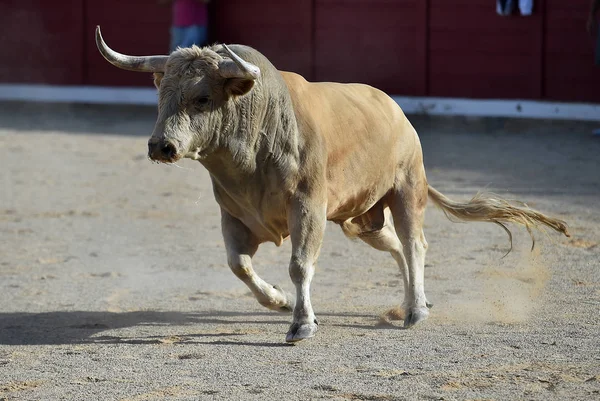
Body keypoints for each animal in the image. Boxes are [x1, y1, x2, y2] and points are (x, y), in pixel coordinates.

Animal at [96, 26, 568, 342]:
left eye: (202, 97)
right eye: (161, 96)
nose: (162, 146)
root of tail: (398, 112)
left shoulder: (308, 207)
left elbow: (300, 264)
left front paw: (301, 324)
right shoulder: (234, 214)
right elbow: (238, 264)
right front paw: (279, 301)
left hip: (406, 189)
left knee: (414, 243)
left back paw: (416, 311)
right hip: (362, 218)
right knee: (395, 245)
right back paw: (410, 303)